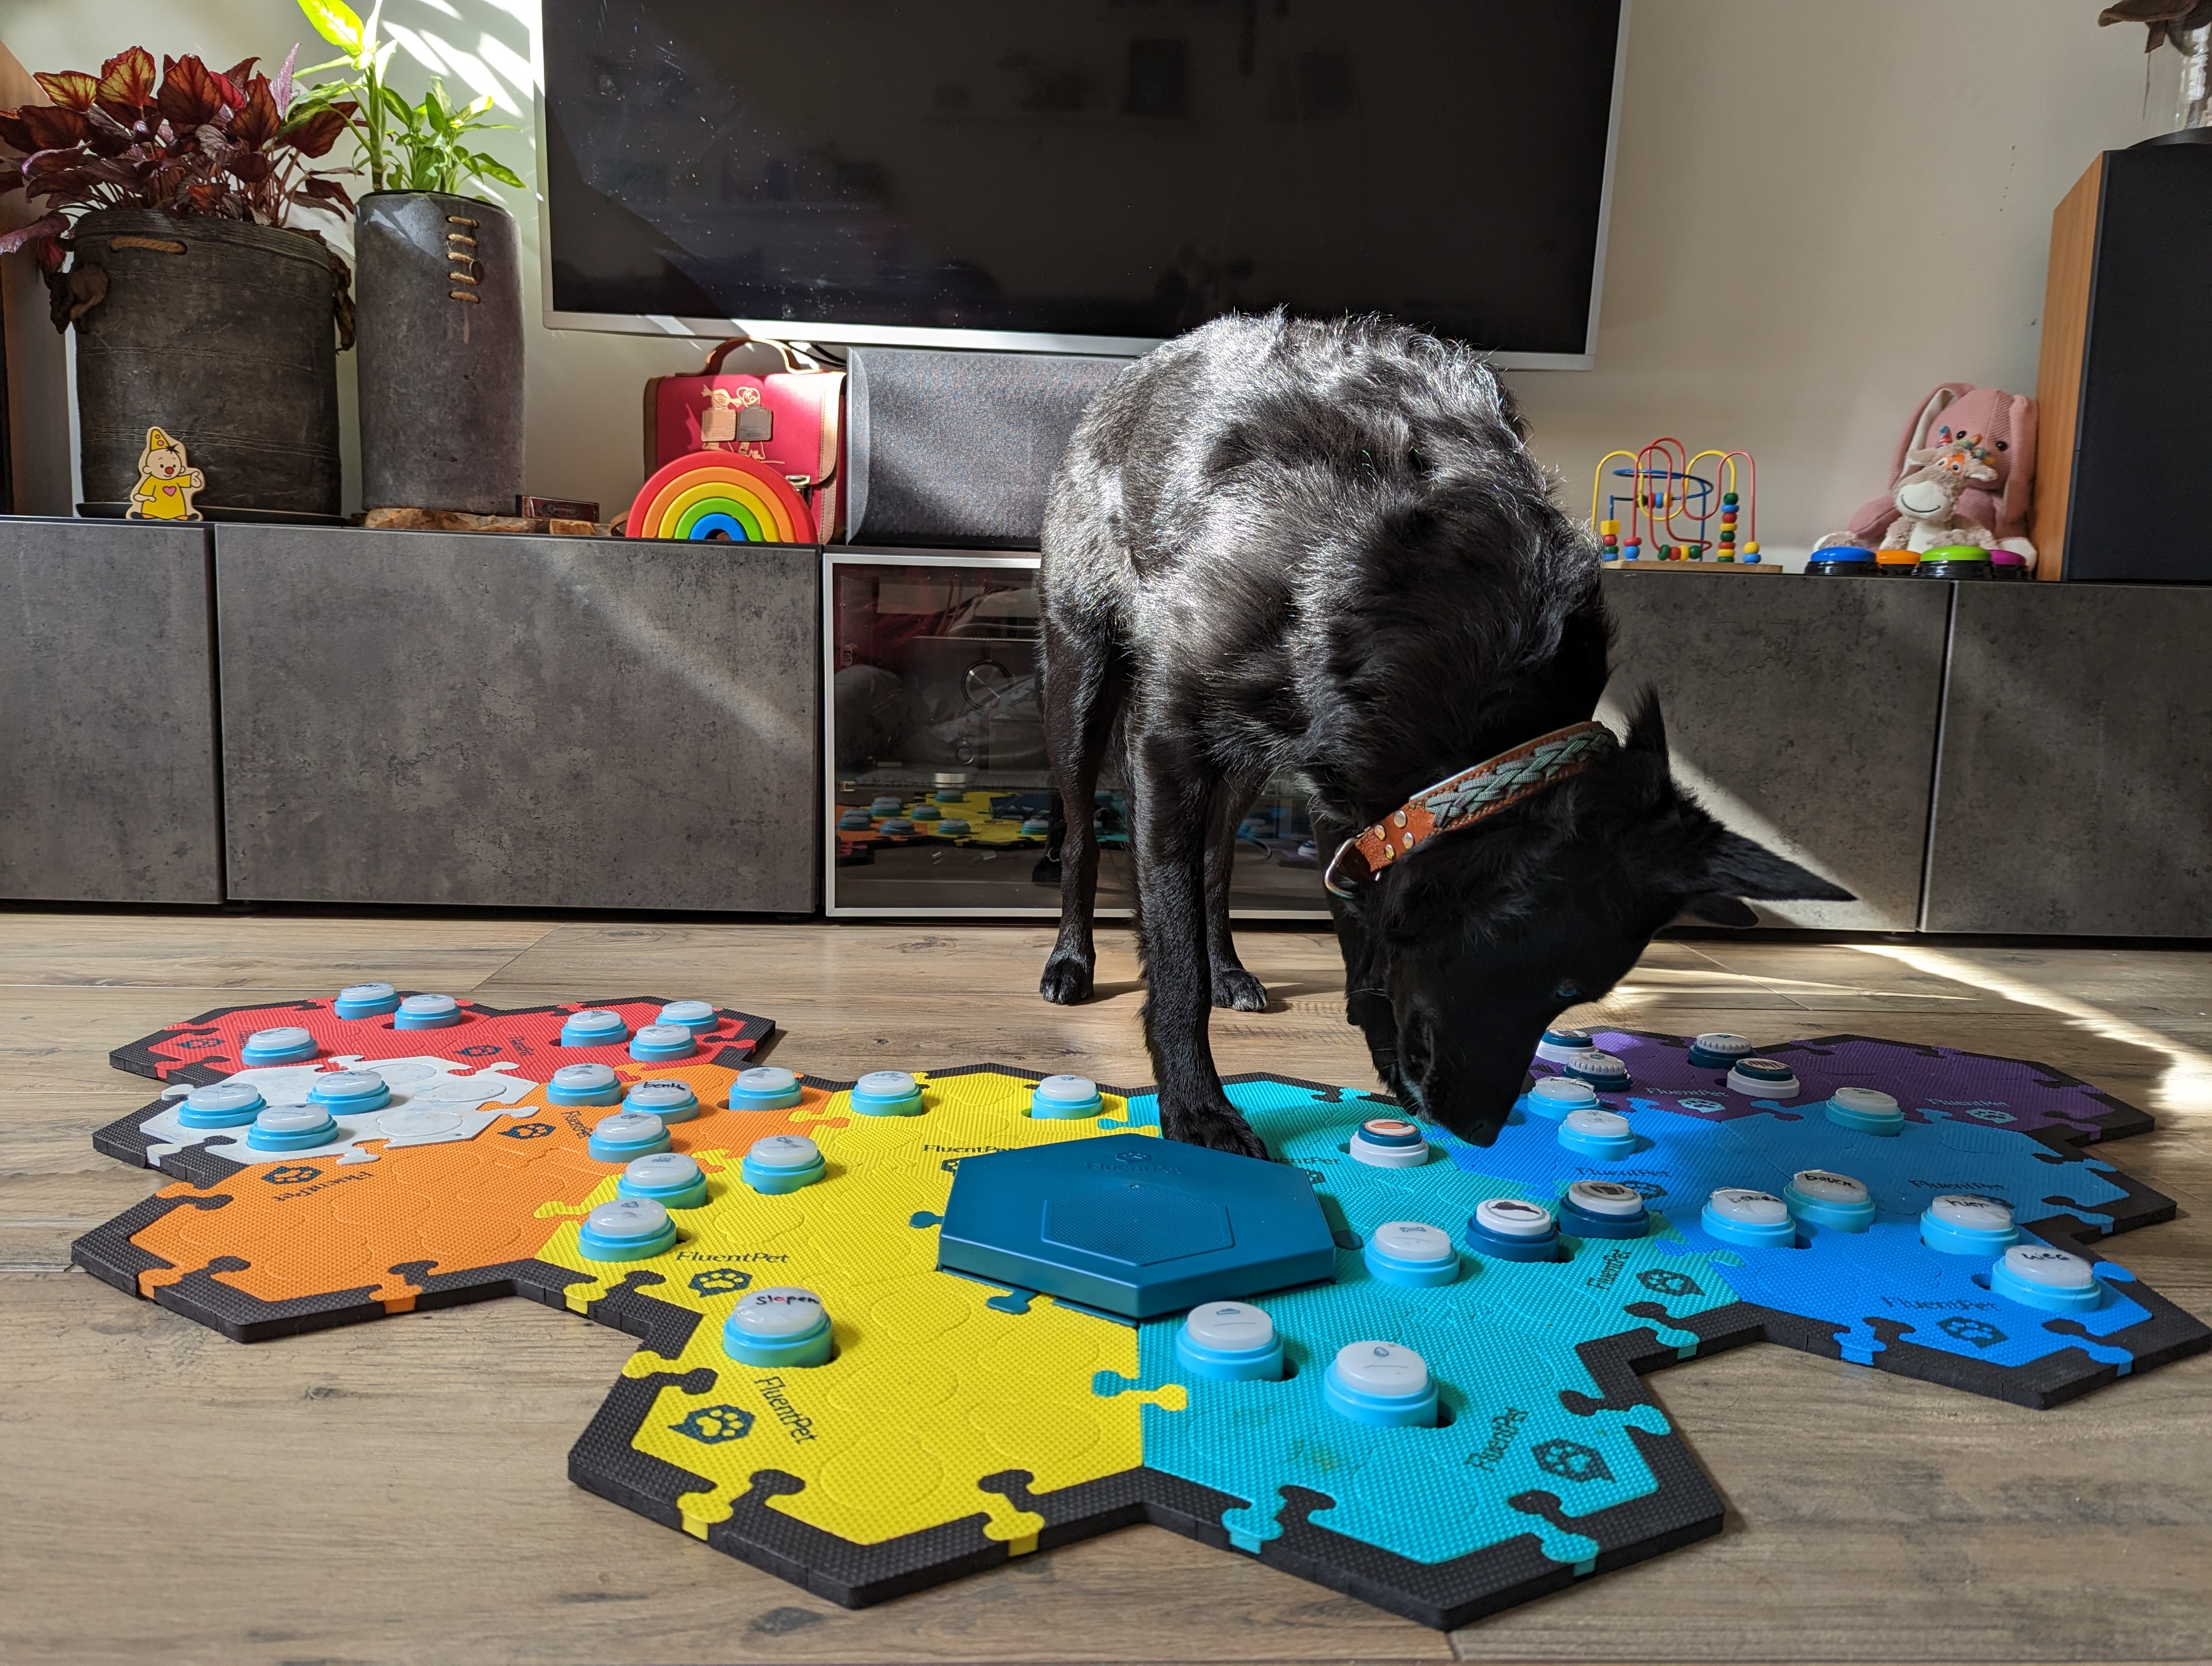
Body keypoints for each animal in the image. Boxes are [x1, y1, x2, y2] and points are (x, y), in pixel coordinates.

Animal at [1035, 318, 1849, 1159]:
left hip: (1248, 762)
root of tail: (1135, 375)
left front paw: (1377, 1054)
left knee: (1216, 863)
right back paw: (1072, 961)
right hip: (1082, 681)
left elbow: (1355, 937)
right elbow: (1173, 953)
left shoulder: (1350, 784)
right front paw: (1197, 1106)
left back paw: (1229, 967)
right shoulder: (1171, 747)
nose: (1481, 1131)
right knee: (1084, 836)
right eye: (1570, 986)